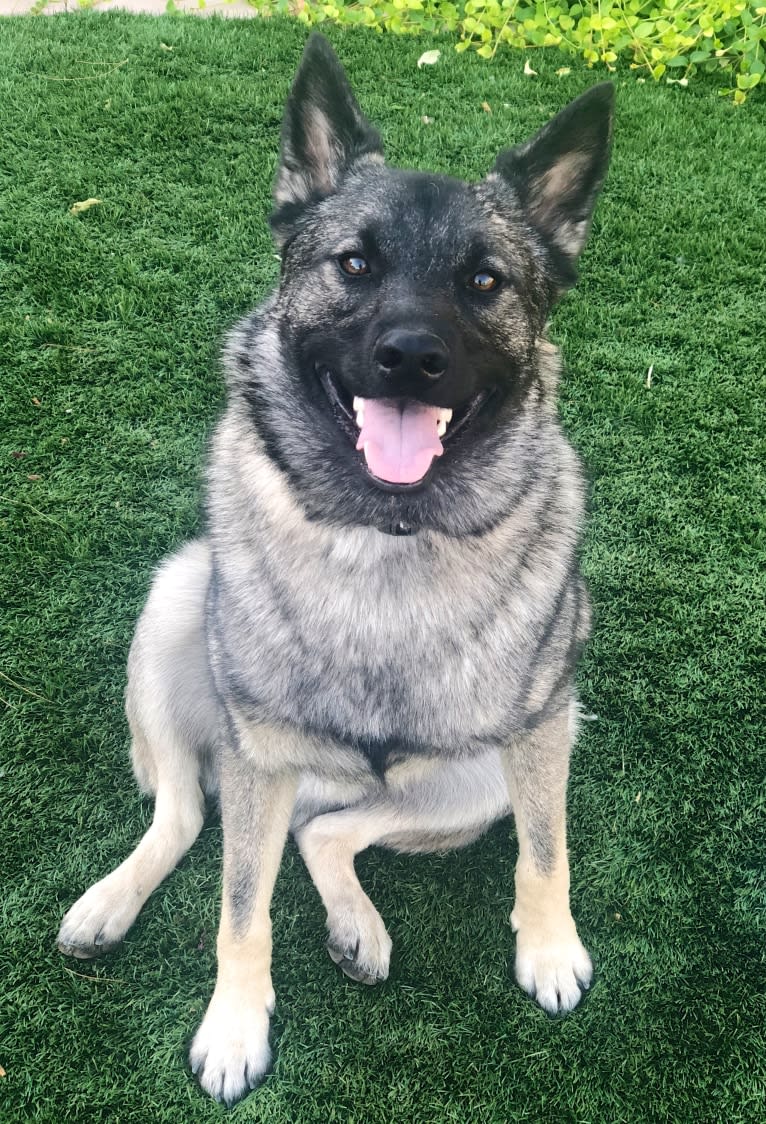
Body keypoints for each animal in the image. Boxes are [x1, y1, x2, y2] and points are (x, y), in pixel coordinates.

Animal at [56, 35, 611, 1106]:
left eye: (485, 282)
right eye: (354, 264)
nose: (410, 355)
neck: (385, 533)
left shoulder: (541, 733)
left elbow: (546, 849)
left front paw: (551, 948)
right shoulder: (260, 754)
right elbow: (238, 911)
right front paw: (234, 1027)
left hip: (473, 778)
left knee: (325, 831)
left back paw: (356, 924)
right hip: (180, 604)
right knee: (188, 815)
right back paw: (109, 902)